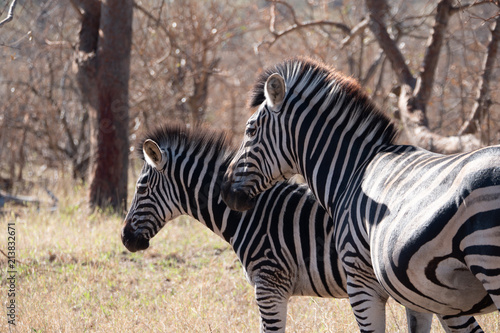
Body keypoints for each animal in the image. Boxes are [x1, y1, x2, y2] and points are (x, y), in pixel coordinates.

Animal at [223, 56, 500, 330]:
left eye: (250, 131)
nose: (225, 192)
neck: (353, 172)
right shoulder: (419, 298)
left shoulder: (360, 282)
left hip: (490, 266)